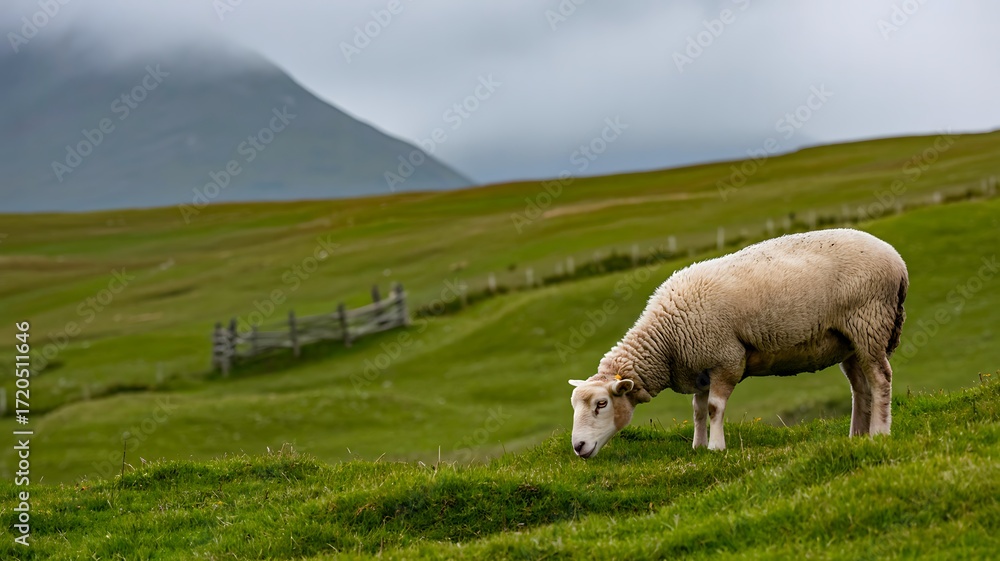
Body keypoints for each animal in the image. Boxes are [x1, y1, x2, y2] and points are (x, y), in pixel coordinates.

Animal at [569, 228, 907, 458]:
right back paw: (857, 436)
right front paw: (698, 446)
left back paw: (880, 433)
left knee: (881, 380)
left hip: (869, 322)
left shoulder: (725, 358)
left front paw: (716, 448)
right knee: (860, 388)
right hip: (849, 340)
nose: (578, 446)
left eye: (602, 404)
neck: (667, 338)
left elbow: (715, 407)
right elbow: (698, 409)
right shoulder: (701, 366)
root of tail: (897, 260)